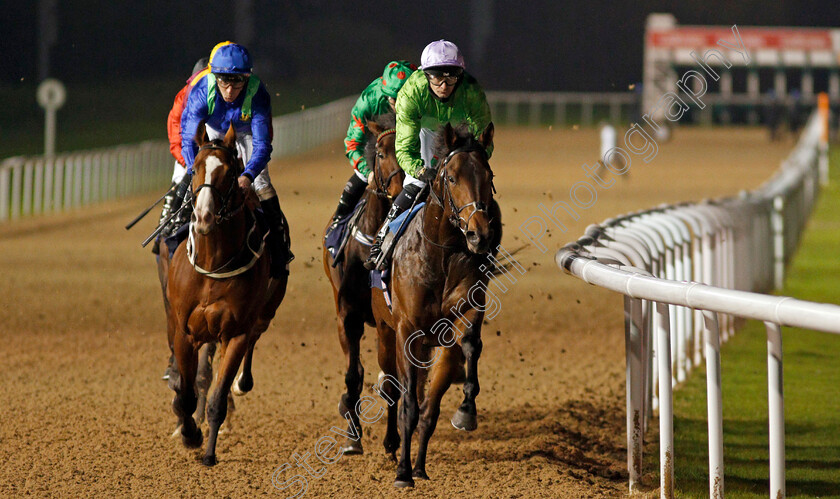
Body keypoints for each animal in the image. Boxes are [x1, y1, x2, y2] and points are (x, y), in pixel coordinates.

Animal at [163, 123, 288, 466]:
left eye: (230, 173)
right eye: (194, 169)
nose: (204, 217)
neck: (212, 265)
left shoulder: (235, 333)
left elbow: (217, 398)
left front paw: (208, 453)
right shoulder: (184, 331)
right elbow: (187, 393)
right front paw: (189, 433)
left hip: (265, 312)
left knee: (252, 342)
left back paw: (241, 384)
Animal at [372, 122, 502, 488]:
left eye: (488, 175)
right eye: (452, 177)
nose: (479, 235)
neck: (439, 255)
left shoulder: (462, 317)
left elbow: (469, 346)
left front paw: (467, 411)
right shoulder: (407, 332)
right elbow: (408, 406)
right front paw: (403, 473)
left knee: (427, 404)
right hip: (385, 333)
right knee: (392, 388)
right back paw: (392, 447)